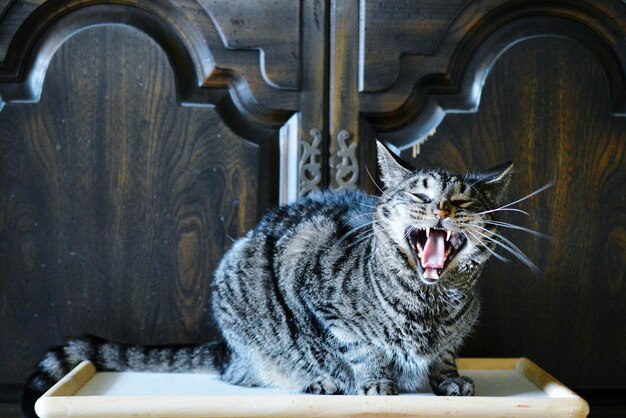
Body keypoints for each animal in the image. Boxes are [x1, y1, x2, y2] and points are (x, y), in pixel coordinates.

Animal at [23, 143, 512, 414]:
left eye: (463, 201)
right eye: (420, 195)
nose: (442, 210)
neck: (430, 305)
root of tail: (226, 350)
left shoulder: (452, 336)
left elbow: (445, 354)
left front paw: (448, 378)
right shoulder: (319, 296)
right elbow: (360, 347)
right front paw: (375, 380)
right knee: (247, 374)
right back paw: (314, 381)